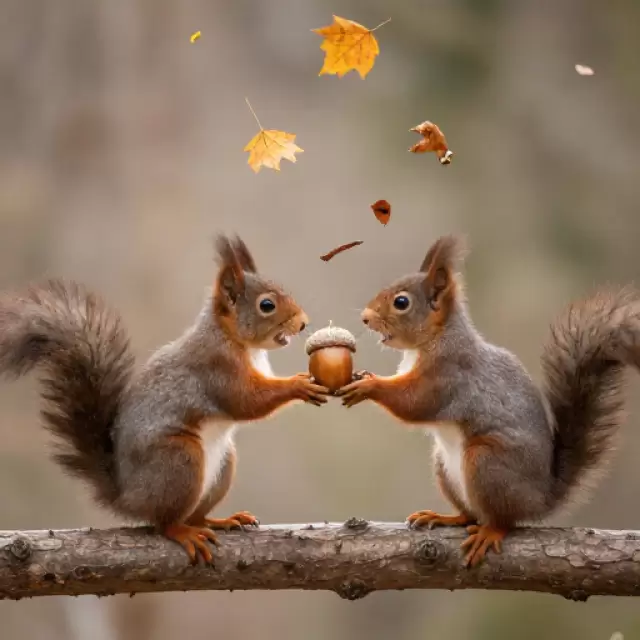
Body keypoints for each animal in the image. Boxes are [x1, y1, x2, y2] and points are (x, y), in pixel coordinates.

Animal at [0, 234, 329, 564]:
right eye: (267, 305)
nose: (303, 323)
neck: (235, 339)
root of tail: (127, 497)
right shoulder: (216, 369)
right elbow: (246, 401)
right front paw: (297, 385)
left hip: (223, 464)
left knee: (195, 515)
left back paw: (218, 520)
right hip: (179, 459)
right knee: (164, 523)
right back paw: (184, 532)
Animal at [336, 234, 640, 567]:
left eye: (401, 302)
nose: (365, 318)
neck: (433, 340)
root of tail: (542, 498)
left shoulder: (449, 376)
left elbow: (415, 403)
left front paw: (369, 384)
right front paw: (363, 375)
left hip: (486, 463)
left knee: (503, 520)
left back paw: (490, 532)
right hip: (444, 465)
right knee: (470, 515)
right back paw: (446, 517)